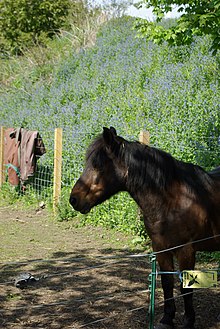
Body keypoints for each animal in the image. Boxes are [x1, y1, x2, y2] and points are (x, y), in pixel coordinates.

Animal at [70, 126, 220, 328]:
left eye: (98, 165)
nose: (73, 199)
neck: (173, 200)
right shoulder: (161, 248)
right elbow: (166, 282)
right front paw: (167, 318)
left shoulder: (186, 250)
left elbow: (185, 287)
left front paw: (188, 321)